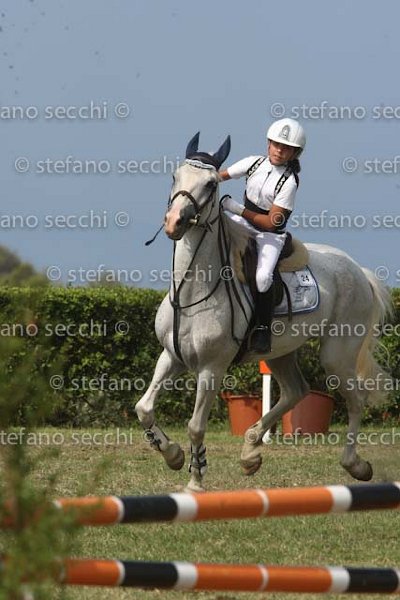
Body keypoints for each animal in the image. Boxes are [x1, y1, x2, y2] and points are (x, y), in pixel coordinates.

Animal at [135, 132, 393, 492]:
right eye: (175, 176)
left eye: (211, 184)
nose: (175, 222)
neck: (191, 290)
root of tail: (358, 270)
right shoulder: (171, 356)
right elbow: (144, 408)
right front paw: (172, 455)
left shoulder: (211, 368)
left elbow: (196, 426)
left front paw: (195, 482)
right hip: (280, 352)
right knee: (297, 390)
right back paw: (250, 452)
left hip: (337, 355)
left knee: (355, 399)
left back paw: (355, 465)